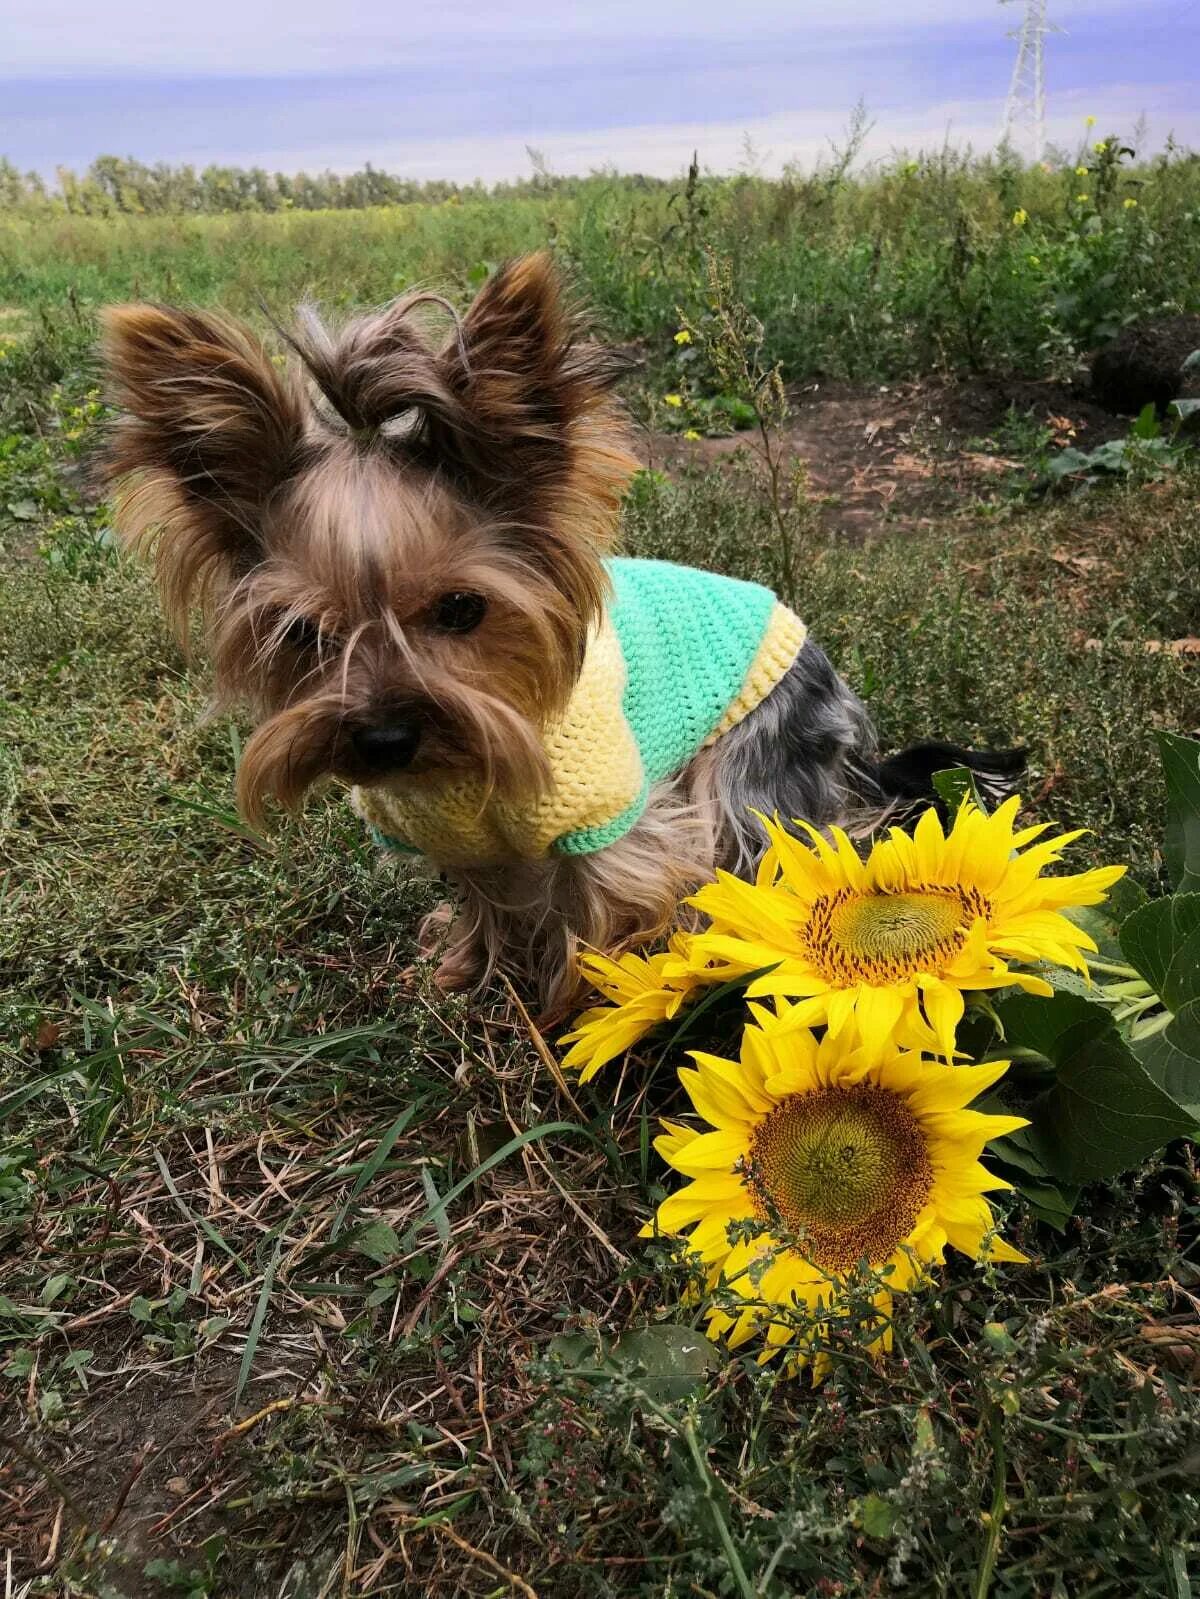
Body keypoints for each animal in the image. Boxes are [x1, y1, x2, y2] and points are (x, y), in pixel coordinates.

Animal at [103, 255, 1024, 1016]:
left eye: (461, 610)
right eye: (300, 632)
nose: (383, 738)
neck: (457, 764)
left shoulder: (609, 822)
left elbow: (601, 910)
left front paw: (586, 1007)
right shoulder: (462, 842)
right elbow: (485, 903)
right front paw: (467, 969)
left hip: (755, 767)